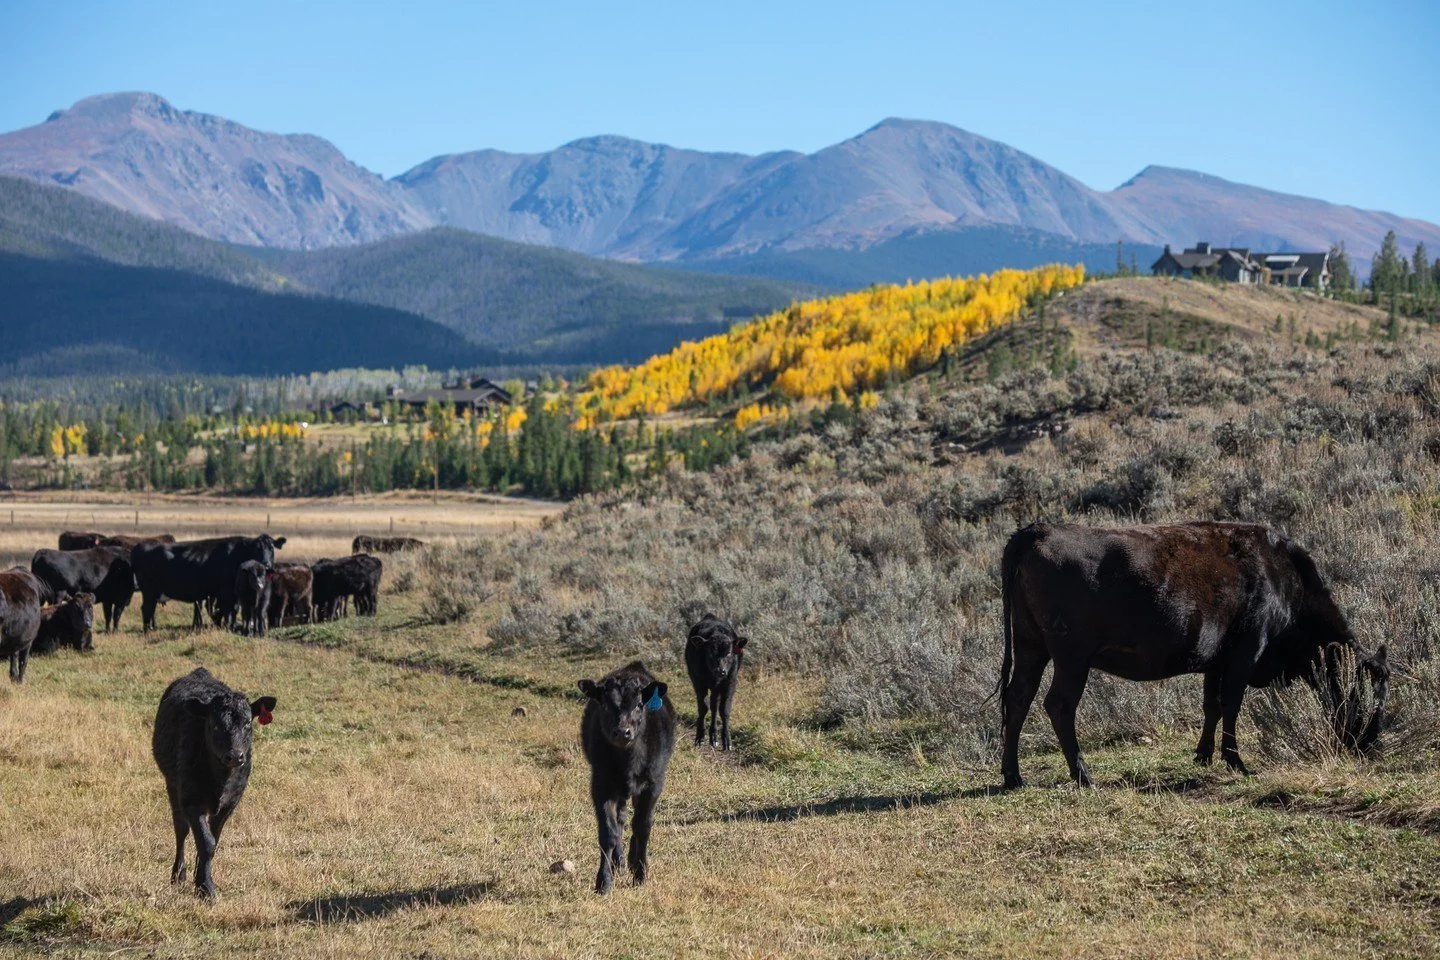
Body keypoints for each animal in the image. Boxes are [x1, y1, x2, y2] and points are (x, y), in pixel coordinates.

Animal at [132, 536, 286, 632]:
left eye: (271, 548)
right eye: (257, 549)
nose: (266, 564)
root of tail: (141, 545)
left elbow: (231, 610)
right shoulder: (226, 591)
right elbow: (229, 610)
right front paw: (228, 627)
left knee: (150, 609)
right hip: (149, 591)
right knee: (147, 609)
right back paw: (147, 630)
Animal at [152, 667, 276, 900]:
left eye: (248, 723)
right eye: (215, 725)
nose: (235, 756)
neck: (221, 778)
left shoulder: (230, 803)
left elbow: (212, 840)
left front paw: (201, 880)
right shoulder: (191, 800)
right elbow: (206, 842)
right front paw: (206, 887)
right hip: (172, 786)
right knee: (180, 829)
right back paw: (178, 875)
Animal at [578, 661, 676, 894]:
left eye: (639, 705)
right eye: (605, 705)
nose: (623, 732)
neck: (629, 763)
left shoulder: (653, 784)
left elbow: (643, 826)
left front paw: (640, 874)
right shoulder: (601, 784)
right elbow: (609, 832)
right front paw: (604, 881)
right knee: (621, 818)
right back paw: (619, 861)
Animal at [684, 614, 749, 751]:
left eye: (729, 653)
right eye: (710, 652)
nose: (720, 671)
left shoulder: (730, 683)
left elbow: (724, 710)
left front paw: (727, 740)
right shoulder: (698, 683)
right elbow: (703, 708)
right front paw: (700, 737)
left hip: (718, 688)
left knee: (715, 707)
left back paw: (714, 737)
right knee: (711, 706)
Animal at [998, 522, 1391, 789]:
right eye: (1365, 693)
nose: (1369, 744)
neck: (1281, 578)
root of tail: (1040, 530)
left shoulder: (1215, 661)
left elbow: (1211, 705)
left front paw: (1203, 755)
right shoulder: (1245, 654)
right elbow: (1231, 704)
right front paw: (1236, 762)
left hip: (1031, 648)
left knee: (1018, 699)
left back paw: (1013, 776)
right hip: (1071, 659)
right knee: (1059, 705)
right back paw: (1083, 774)